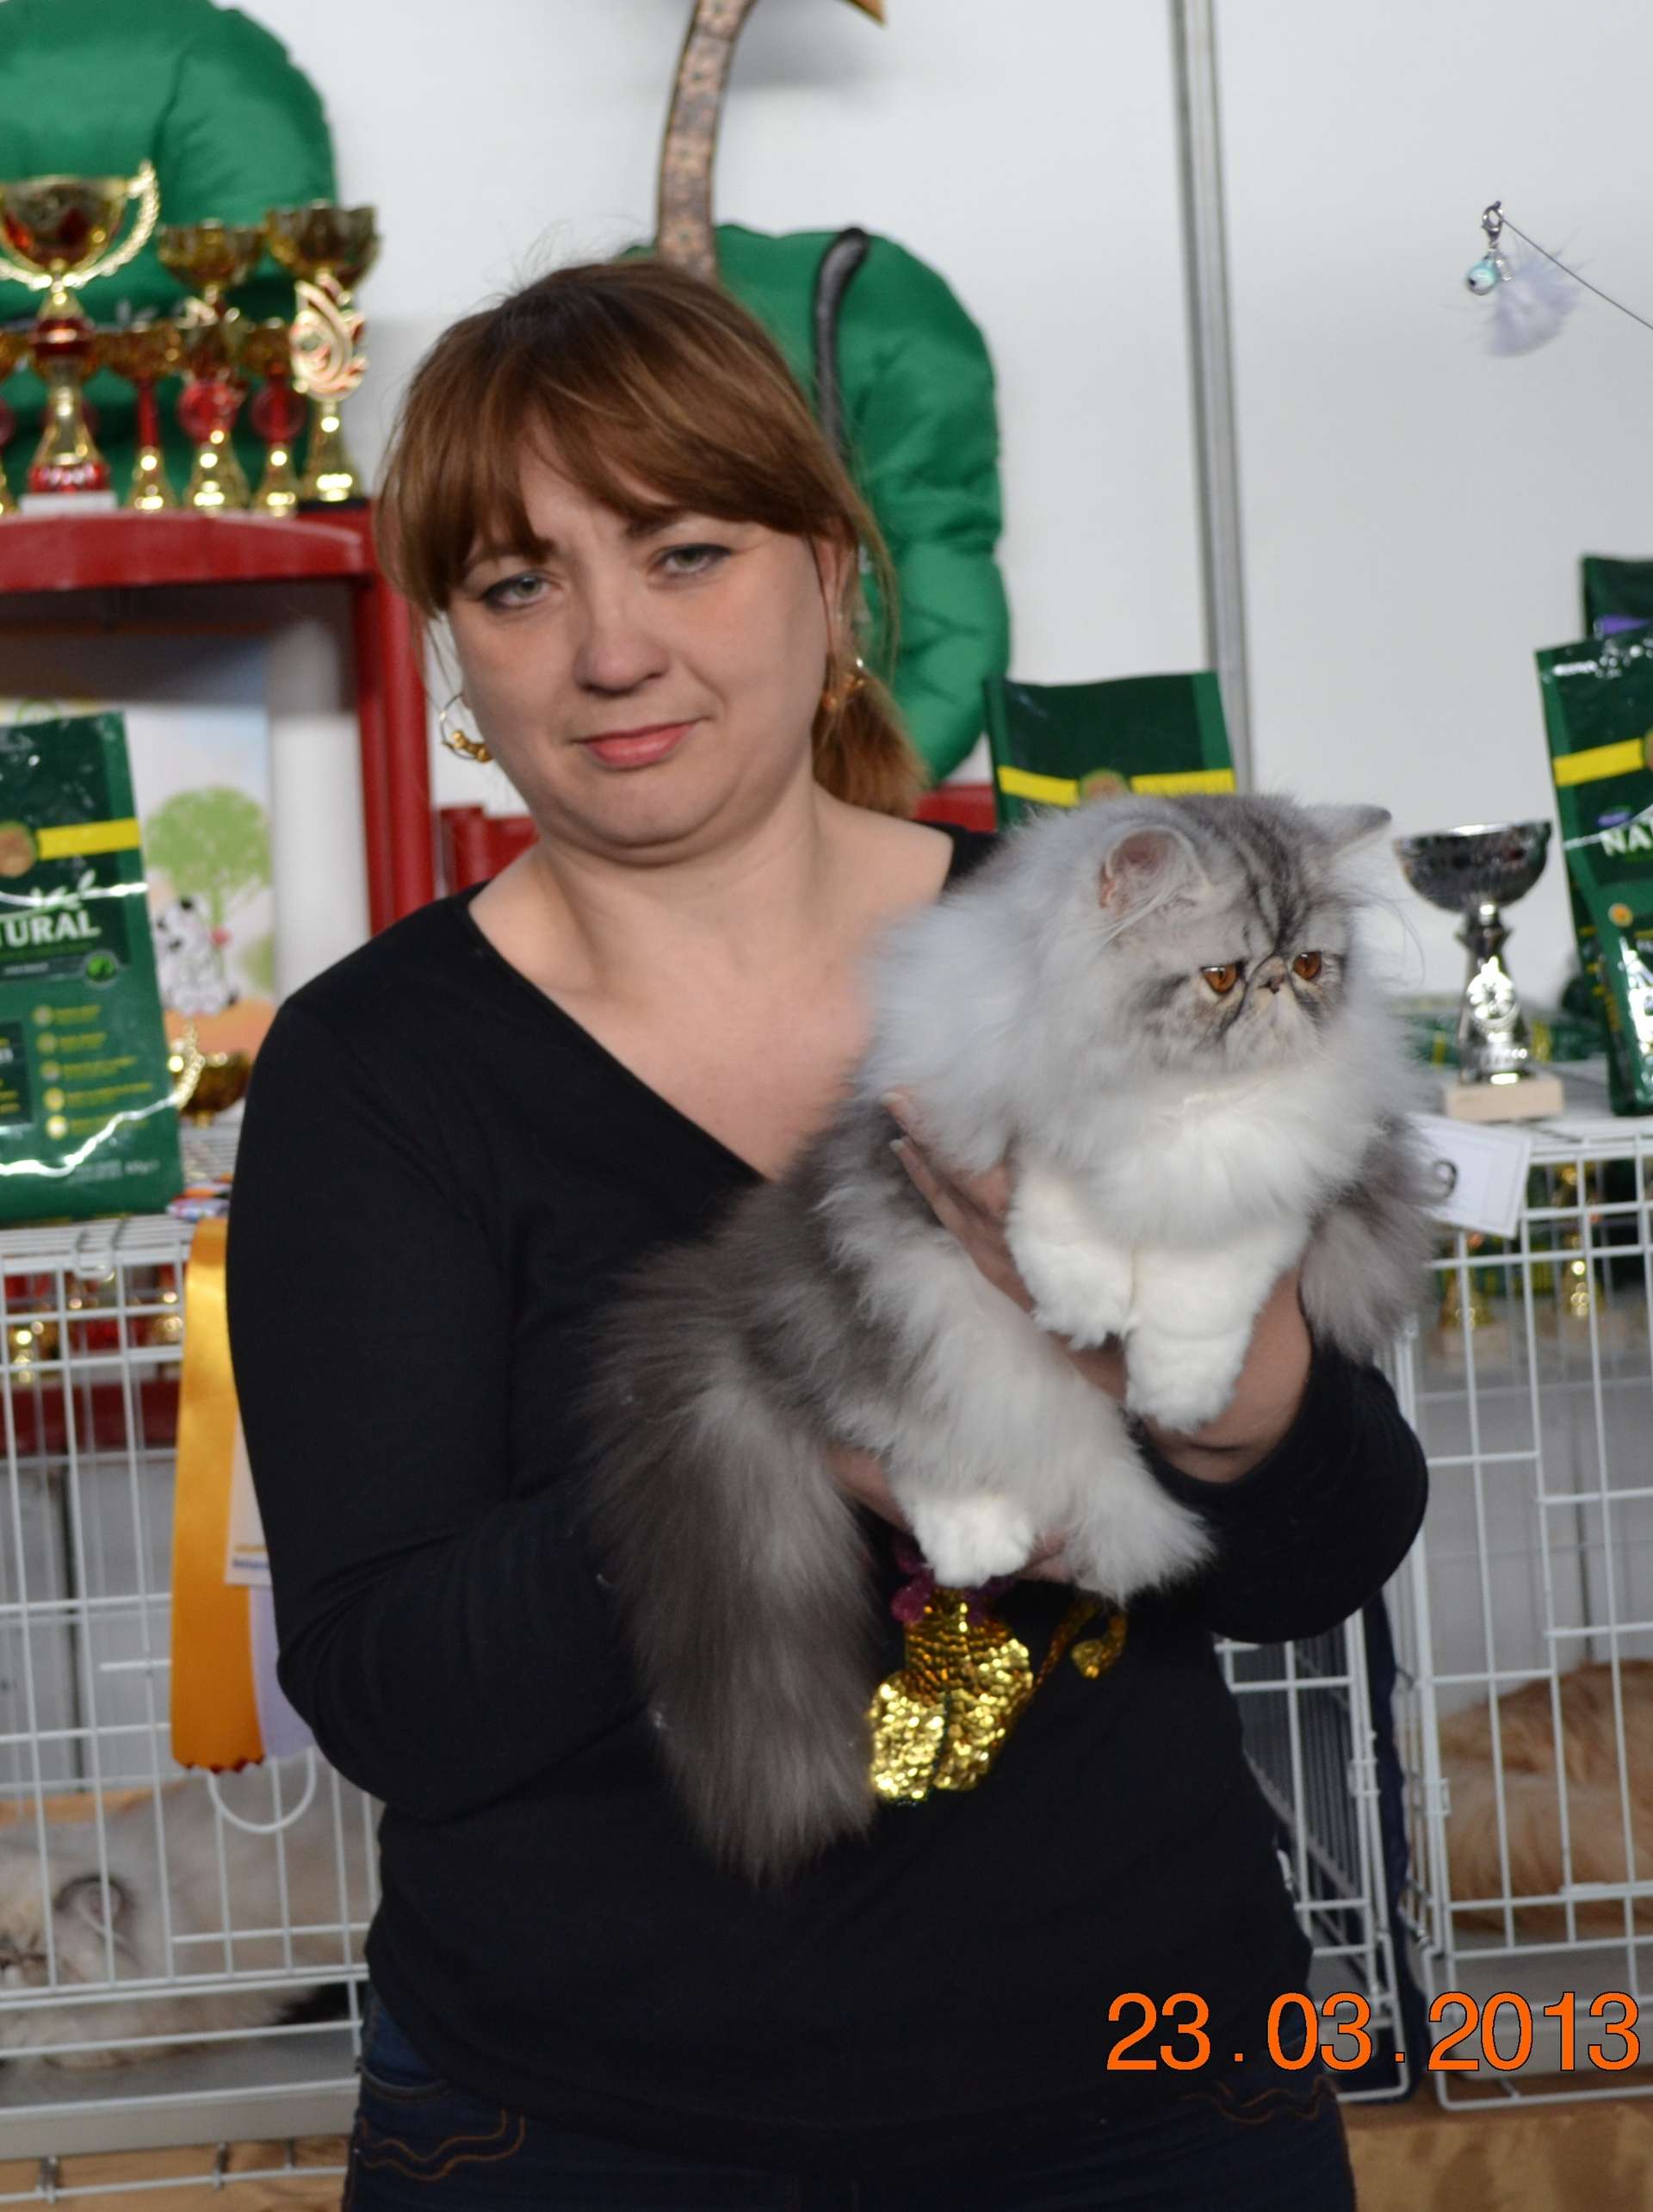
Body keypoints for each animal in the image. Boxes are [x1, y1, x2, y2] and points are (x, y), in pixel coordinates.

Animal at [582, 792, 1434, 1882]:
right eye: (1222, 976)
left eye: (1317, 964)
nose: (1283, 989)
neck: (1172, 1097)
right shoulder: (978, 1125)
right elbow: (1060, 1195)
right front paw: (1079, 1296)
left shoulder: (1295, 1189)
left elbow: (1208, 1277)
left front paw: (1179, 1385)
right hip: (909, 1297)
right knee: (926, 1431)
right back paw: (973, 1537)